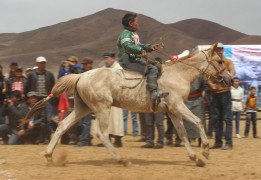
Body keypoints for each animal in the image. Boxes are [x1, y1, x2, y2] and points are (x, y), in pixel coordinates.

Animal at [21, 43, 230, 167]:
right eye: (220, 61)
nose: (229, 79)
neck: (178, 74)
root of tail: (80, 76)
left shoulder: (172, 111)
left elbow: (183, 134)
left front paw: (196, 158)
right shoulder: (178, 107)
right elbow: (198, 122)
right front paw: (206, 150)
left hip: (83, 108)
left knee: (63, 125)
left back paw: (49, 156)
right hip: (102, 108)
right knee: (102, 134)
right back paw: (122, 160)